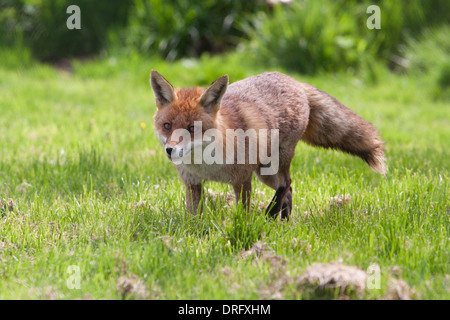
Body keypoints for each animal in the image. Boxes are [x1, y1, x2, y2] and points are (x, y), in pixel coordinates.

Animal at [149, 70, 384, 220]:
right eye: (167, 125)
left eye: (192, 128)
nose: (170, 150)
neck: (207, 165)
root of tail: (293, 80)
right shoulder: (192, 183)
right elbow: (194, 216)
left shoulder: (242, 179)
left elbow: (243, 212)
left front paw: (243, 226)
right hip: (264, 173)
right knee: (289, 190)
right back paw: (284, 220)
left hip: (276, 163)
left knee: (286, 183)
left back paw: (271, 216)